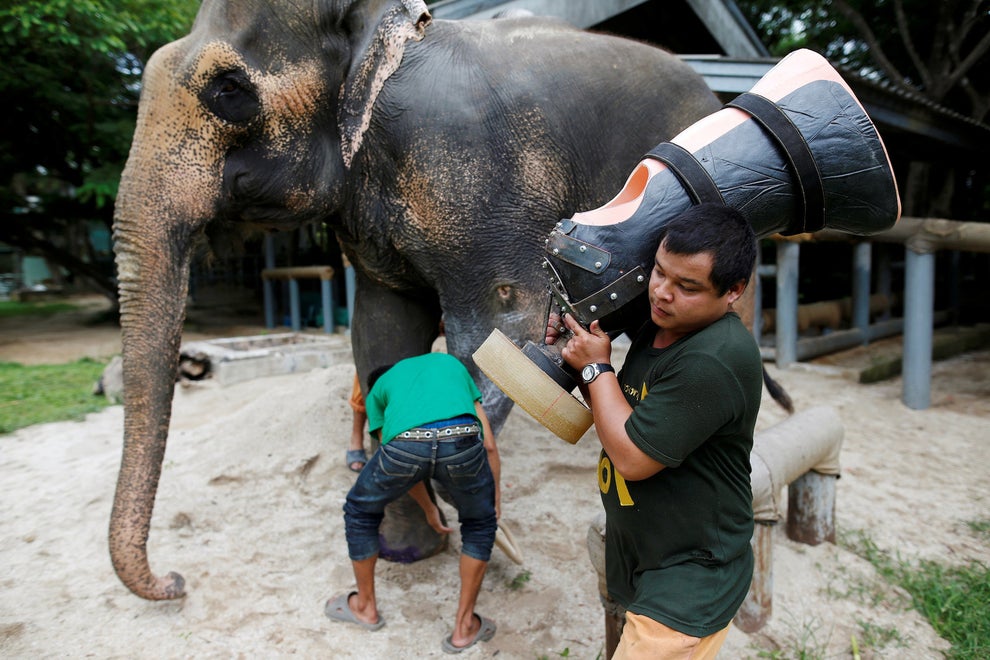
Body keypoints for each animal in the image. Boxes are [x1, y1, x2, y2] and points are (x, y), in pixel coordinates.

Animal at [112, 0, 724, 600]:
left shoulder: (475, 177)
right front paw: (408, 549)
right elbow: (382, 329)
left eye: (228, 90)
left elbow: (505, 316)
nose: (175, 581)